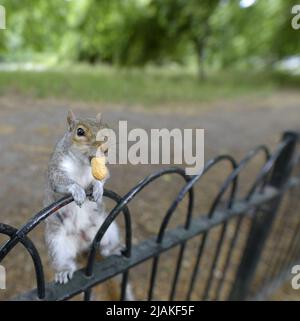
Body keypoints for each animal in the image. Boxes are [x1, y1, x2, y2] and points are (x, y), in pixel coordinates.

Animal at [44, 110, 133, 300]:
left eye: (107, 129)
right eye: (80, 132)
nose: (106, 148)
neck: (83, 164)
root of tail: (84, 242)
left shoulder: (103, 169)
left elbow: (103, 178)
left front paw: (98, 188)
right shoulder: (56, 168)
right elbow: (61, 181)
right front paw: (77, 190)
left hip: (108, 231)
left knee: (105, 250)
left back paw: (114, 250)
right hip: (58, 243)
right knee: (65, 260)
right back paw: (63, 271)